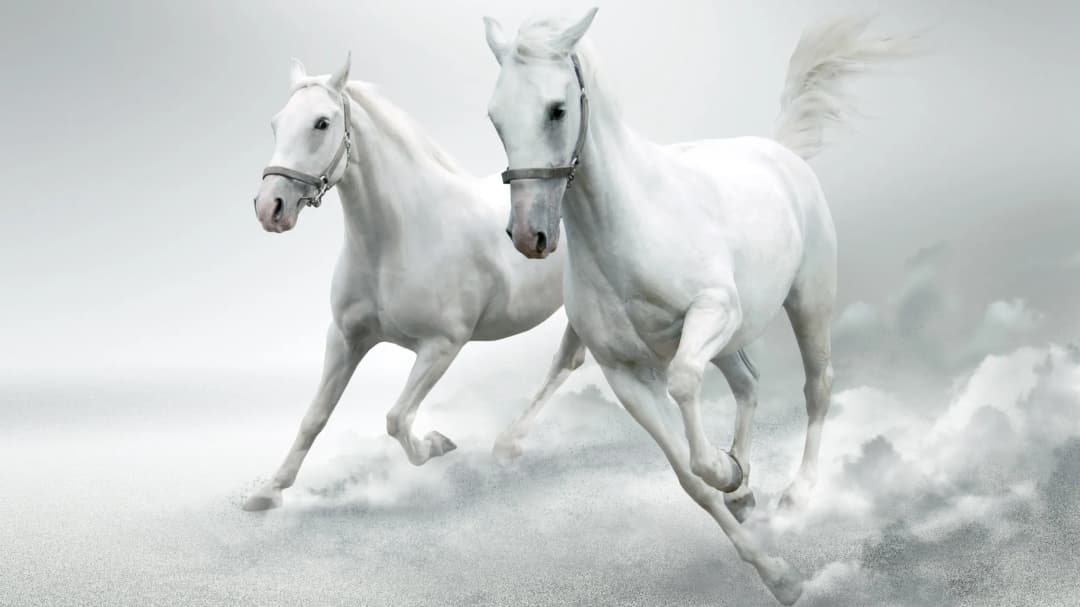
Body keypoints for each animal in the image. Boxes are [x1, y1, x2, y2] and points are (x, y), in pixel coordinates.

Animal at [244, 55, 585, 511]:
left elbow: (397, 419)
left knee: (566, 361)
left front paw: (438, 443)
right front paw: (269, 491)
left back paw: (508, 442)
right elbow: (314, 417)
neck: (399, 238)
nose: (270, 208)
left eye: (321, 123)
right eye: (276, 123)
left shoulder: (442, 345)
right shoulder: (345, 339)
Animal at [483, 10, 911, 604]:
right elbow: (689, 479)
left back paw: (797, 494)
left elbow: (685, 383)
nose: (529, 236)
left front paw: (728, 475)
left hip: (808, 301)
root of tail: (780, 153)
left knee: (818, 386)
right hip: (733, 340)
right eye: (496, 117)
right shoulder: (625, 374)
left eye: (557, 109)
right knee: (749, 382)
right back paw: (746, 490)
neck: (629, 227)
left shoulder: (711, 312)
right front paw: (773, 565)